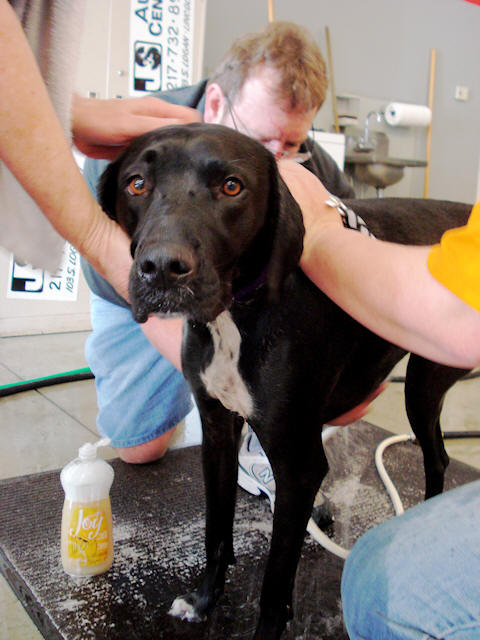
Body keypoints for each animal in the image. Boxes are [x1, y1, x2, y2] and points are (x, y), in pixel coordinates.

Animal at [99, 122, 472, 640]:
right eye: (136, 183)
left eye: (231, 186)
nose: (162, 268)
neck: (236, 315)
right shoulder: (217, 432)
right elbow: (217, 534)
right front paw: (203, 600)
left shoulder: (299, 467)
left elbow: (275, 585)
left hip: (423, 382)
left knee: (436, 457)